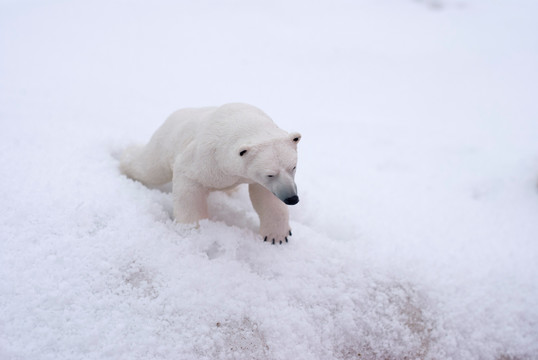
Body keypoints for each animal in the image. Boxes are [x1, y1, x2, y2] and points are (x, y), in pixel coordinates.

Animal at [119, 103, 300, 245]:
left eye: (293, 167)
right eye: (270, 174)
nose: (292, 198)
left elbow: (266, 197)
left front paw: (277, 236)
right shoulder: (206, 157)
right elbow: (188, 185)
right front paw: (192, 229)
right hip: (166, 142)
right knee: (148, 167)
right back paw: (124, 159)